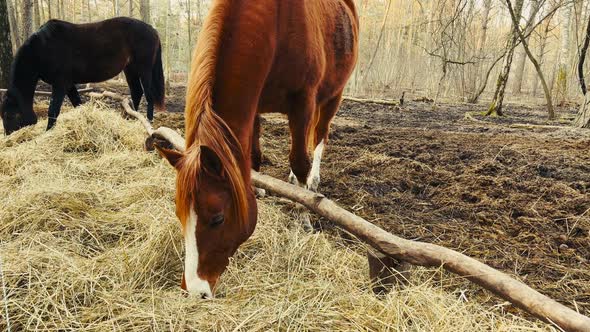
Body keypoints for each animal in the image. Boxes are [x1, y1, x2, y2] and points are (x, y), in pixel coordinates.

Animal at [157, 0, 358, 298]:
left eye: (217, 218)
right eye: (179, 214)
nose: (195, 290)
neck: (277, 23)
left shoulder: (304, 103)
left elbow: (300, 160)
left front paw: (303, 217)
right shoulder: (254, 103)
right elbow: (251, 157)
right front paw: (259, 189)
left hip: (333, 96)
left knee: (320, 138)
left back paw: (312, 182)